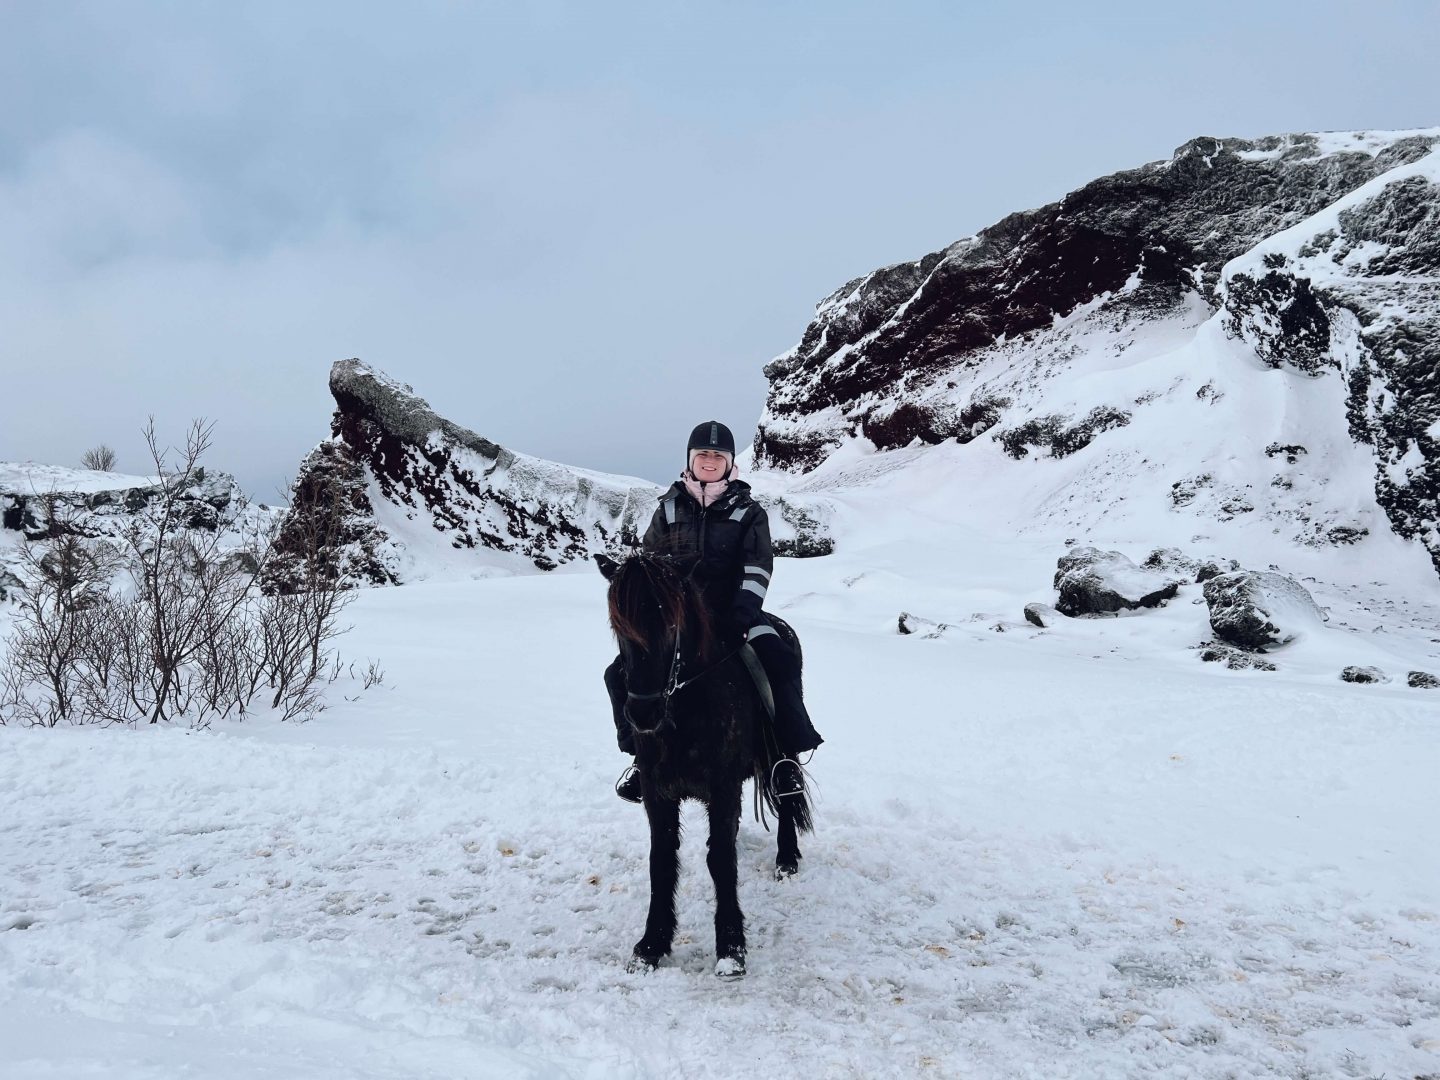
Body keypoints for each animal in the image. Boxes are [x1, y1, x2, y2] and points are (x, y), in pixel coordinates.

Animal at [599, 550, 817, 979]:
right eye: (618, 625)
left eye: (672, 622)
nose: (643, 713)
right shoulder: (658, 792)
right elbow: (662, 861)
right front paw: (651, 945)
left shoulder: (722, 787)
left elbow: (719, 860)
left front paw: (731, 946)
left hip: (782, 748)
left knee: (786, 794)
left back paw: (786, 860)